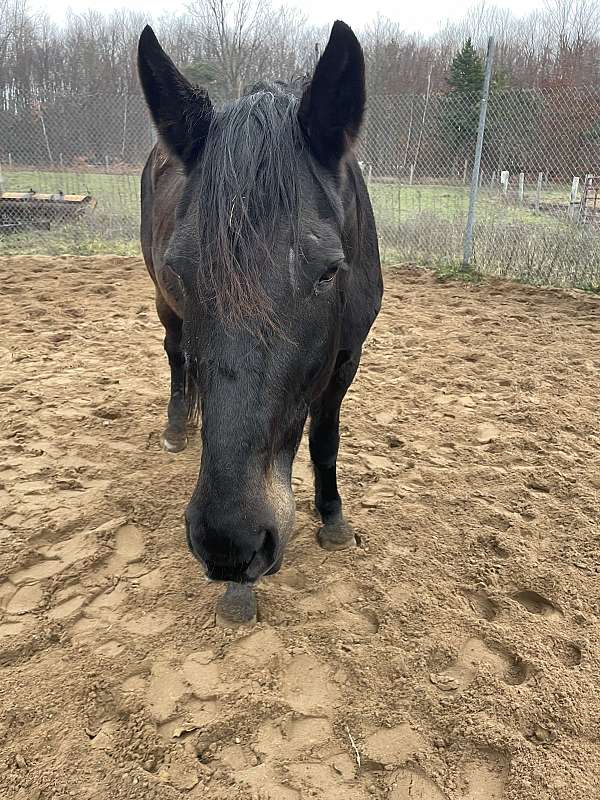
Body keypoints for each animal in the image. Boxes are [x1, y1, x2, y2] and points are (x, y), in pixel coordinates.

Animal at [138, 20, 383, 622]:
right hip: (164, 309)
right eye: (182, 269)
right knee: (176, 356)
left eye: (328, 272)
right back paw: (177, 428)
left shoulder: (347, 359)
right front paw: (237, 595)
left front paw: (333, 519)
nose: (229, 545)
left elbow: (325, 438)